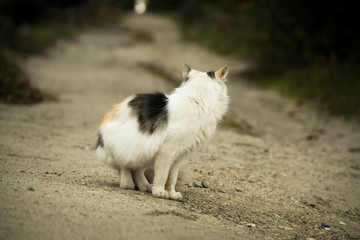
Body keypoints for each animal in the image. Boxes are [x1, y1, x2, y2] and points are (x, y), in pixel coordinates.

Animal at [95, 64, 229, 201]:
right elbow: (162, 175)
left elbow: (172, 178)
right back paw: (127, 183)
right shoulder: (167, 152)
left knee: (137, 169)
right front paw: (159, 192)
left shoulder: (178, 156)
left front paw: (172, 194)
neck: (197, 99)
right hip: (131, 147)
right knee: (125, 166)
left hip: (145, 151)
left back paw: (145, 186)